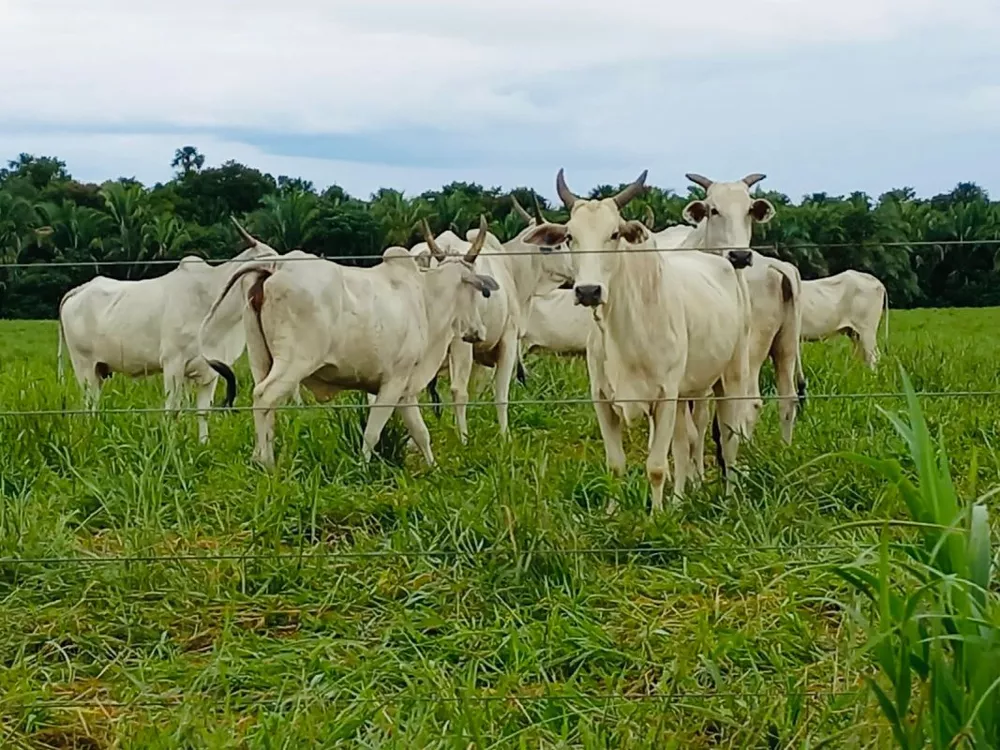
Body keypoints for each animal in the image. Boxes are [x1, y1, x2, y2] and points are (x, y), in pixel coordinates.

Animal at [57, 217, 280, 444]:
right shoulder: (173, 363)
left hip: (99, 370)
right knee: (89, 405)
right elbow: (172, 410)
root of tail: (80, 289)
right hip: (84, 367)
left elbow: (203, 412)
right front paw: (171, 444)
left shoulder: (211, 371)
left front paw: (203, 444)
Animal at [203, 217, 500, 470]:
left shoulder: (405, 390)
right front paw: (363, 469)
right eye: (478, 292)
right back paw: (267, 462)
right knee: (264, 396)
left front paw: (433, 468)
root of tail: (276, 267)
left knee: (265, 405)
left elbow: (421, 433)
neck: (424, 300)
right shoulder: (392, 383)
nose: (478, 332)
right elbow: (372, 433)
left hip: (260, 358)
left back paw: (258, 458)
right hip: (295, 361)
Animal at [524, 170, 752, 512]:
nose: (588, 291)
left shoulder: (665, 397)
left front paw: (656, 516)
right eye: (570, 237)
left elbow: (656, 466)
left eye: (614, 234)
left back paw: (727, 496)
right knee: (685, 443)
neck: (623, 330)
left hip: (732, 376)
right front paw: (612, 511)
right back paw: (681, 498)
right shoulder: (603, 399)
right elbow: (616, 464)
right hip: (688, 392)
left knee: (728, 437)